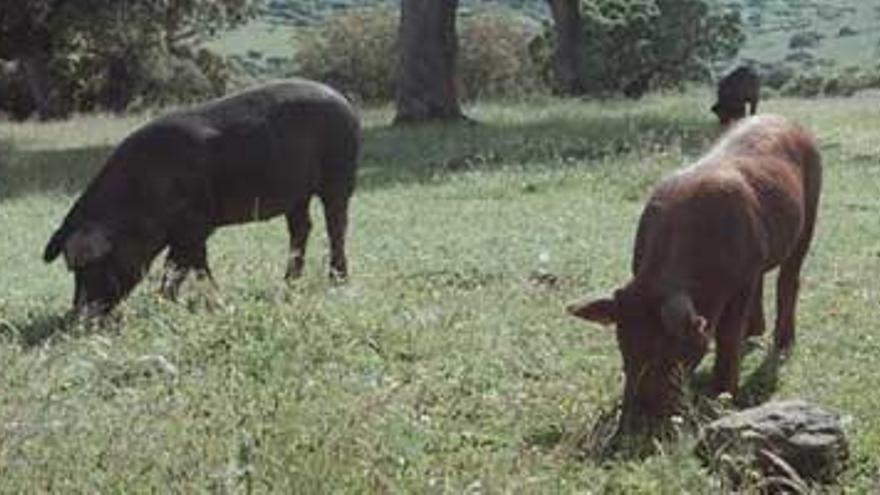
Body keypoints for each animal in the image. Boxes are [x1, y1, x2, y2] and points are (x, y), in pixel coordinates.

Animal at [43, 79, 360, 316]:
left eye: (97, 264)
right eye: (73, 268)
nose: (80, 315)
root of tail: (345, 103)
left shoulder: (195, 225)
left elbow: (187, 265)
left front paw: (194, 303)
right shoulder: (186, 232)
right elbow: (183, 264)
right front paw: (172, 302)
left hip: (339, 174)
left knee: (336, 224)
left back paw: (337, 281)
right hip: (297, 194)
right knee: (302, 227)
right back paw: (289, 283)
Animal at [568, 115, 820, 434]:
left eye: (667, 350)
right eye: (623, 348)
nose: (634, 425)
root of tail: (788, 121)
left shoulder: (744, 278)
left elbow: (727, 335)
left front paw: (722, 397)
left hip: (810, 214)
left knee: (789, 278)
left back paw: (783, 345)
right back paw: (754, 334)